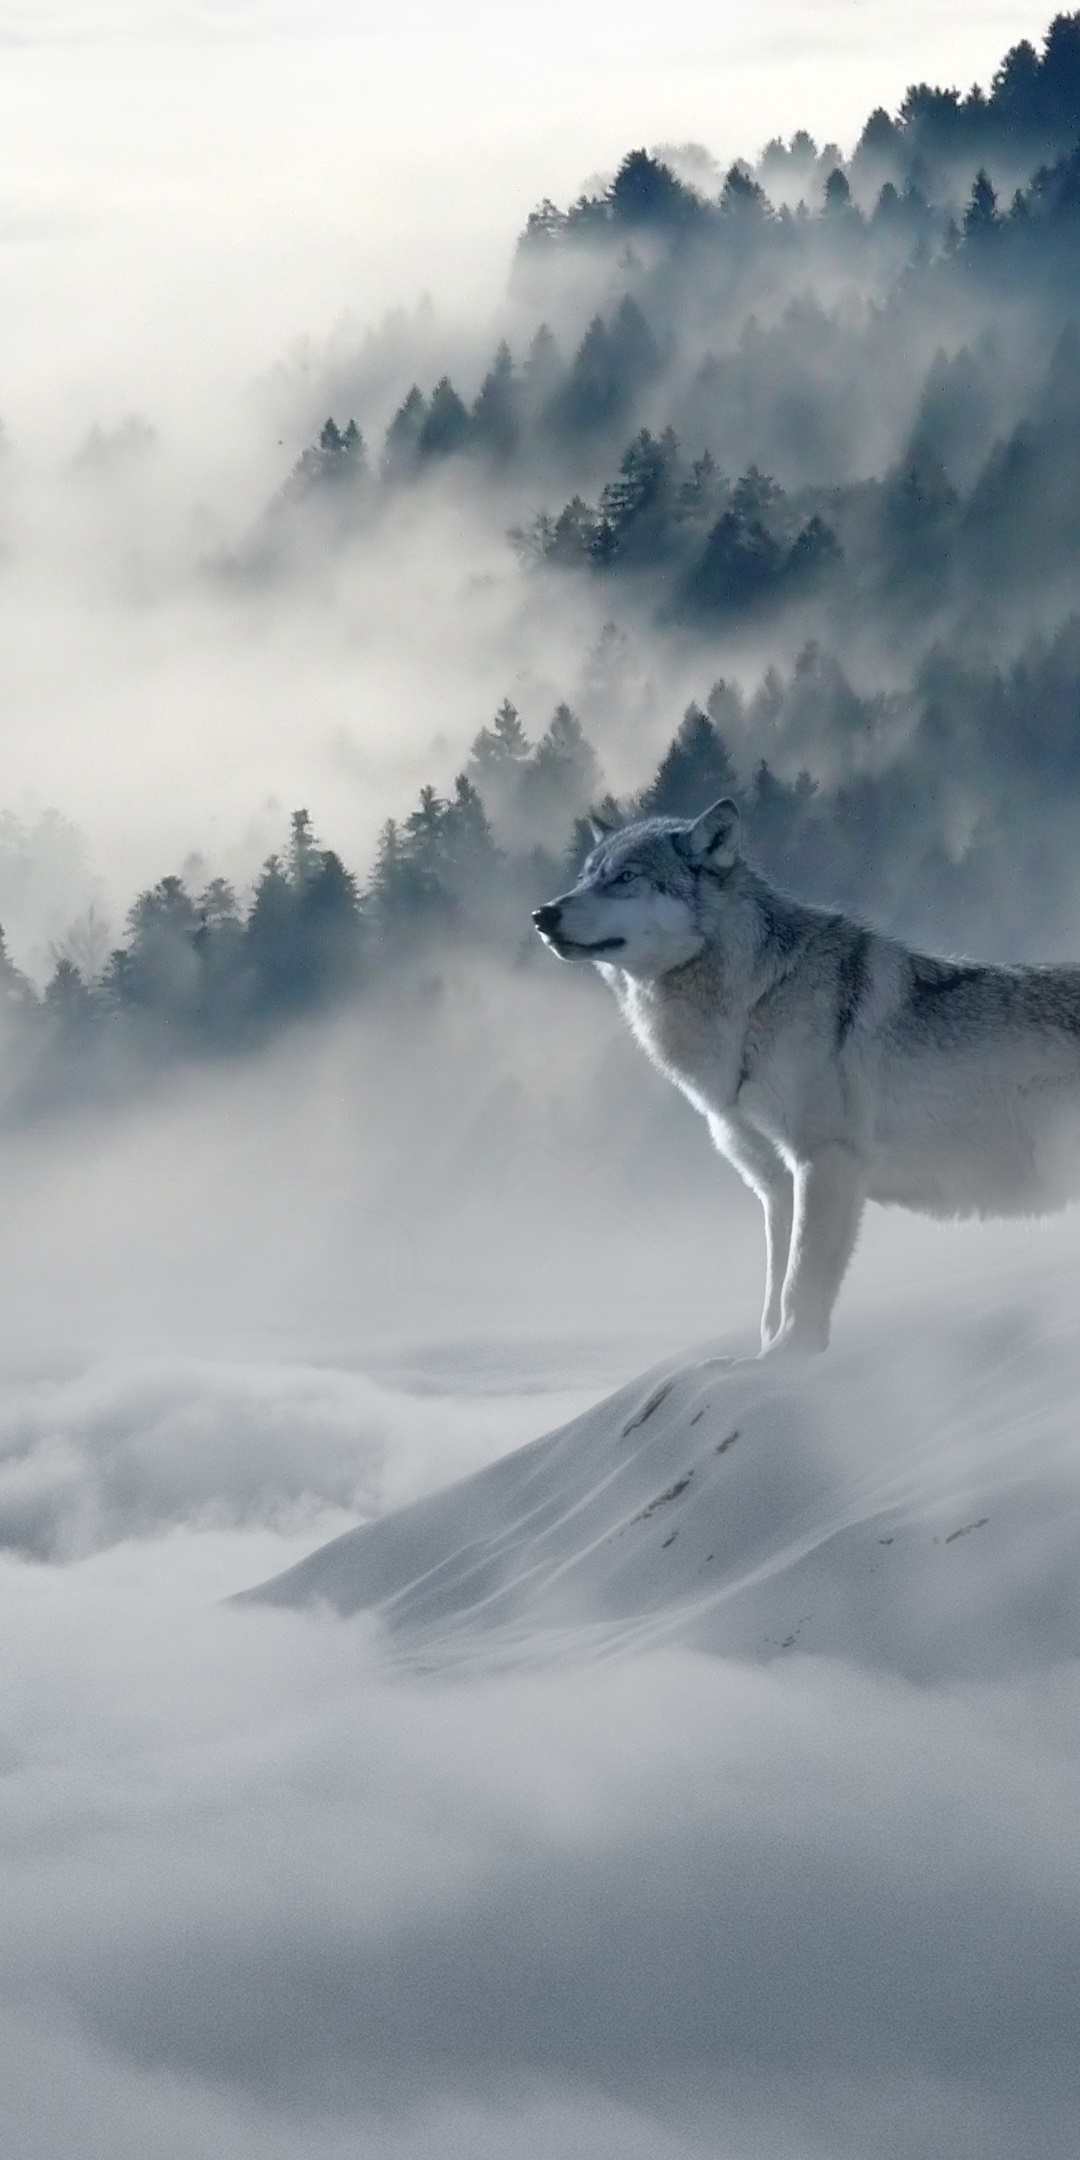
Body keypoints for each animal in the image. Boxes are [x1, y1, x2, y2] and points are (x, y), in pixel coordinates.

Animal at [533, 797, 1080, 1356]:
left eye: (625, 877)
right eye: (584, 877)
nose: (542, 914)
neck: (754, 1001)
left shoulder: (826, 1161)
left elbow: (801, 1285)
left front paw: (789, 1356)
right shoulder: (776, 1185)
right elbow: (773, 1294)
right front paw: (764, 1360)